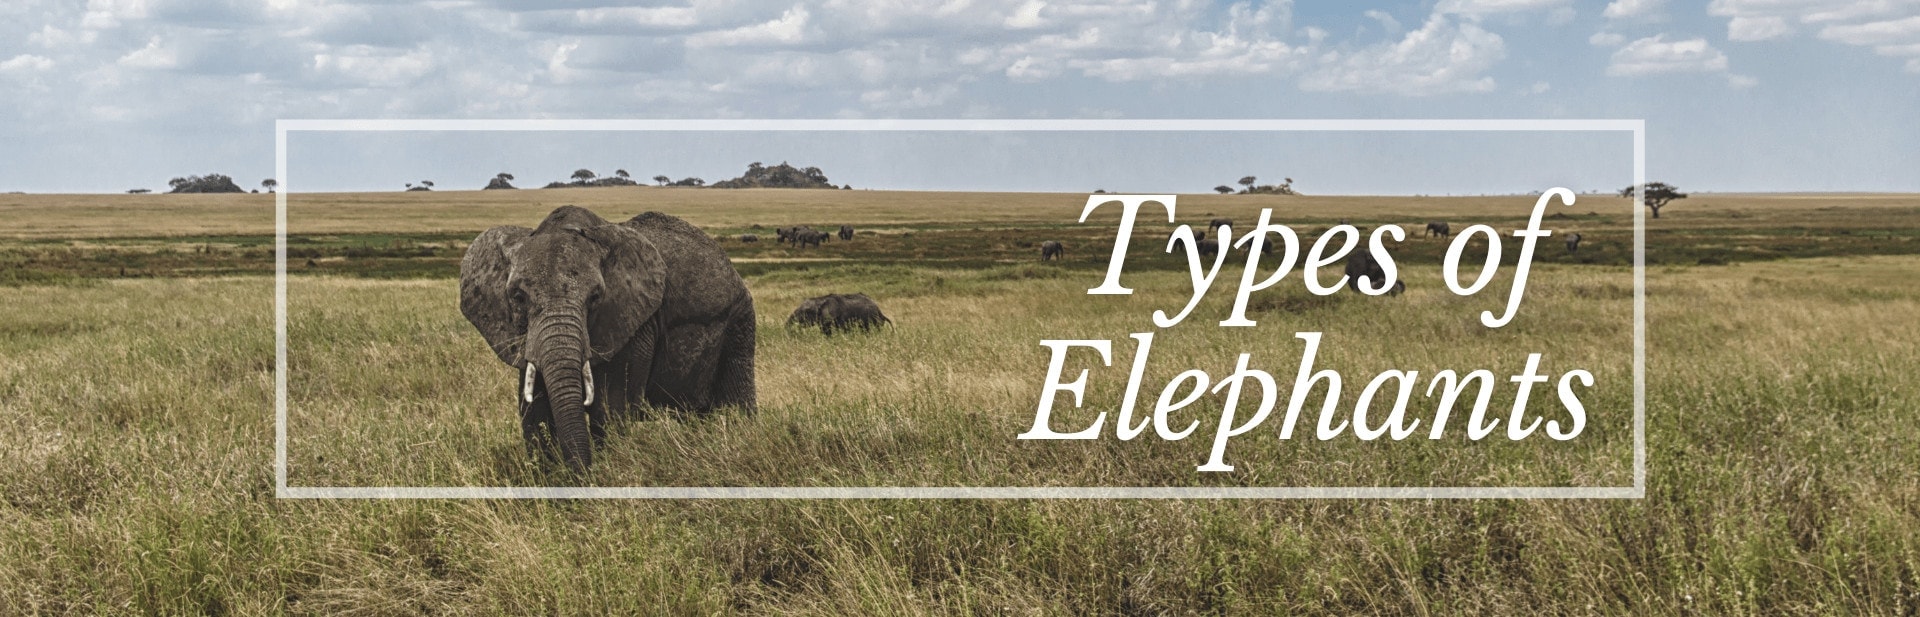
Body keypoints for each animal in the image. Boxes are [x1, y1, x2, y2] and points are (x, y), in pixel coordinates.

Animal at [459, 206, 757, 471]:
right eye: (518, 297)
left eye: (595, 297)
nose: (580, 474)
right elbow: (535, 411)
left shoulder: (636, 322)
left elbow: (610, 408)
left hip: (739, 320)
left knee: (738, 398)